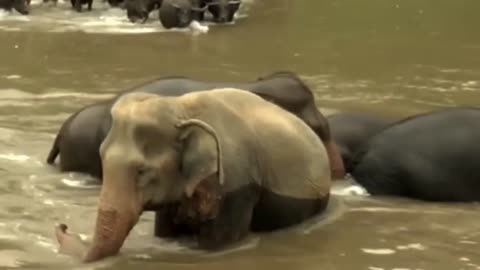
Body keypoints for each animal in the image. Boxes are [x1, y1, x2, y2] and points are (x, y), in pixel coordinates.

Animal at [52, 89, 330, 264]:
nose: (63, 224)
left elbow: (216, 246)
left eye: (142, 171)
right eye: (101, 159)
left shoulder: (237, 185)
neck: (181, 109)